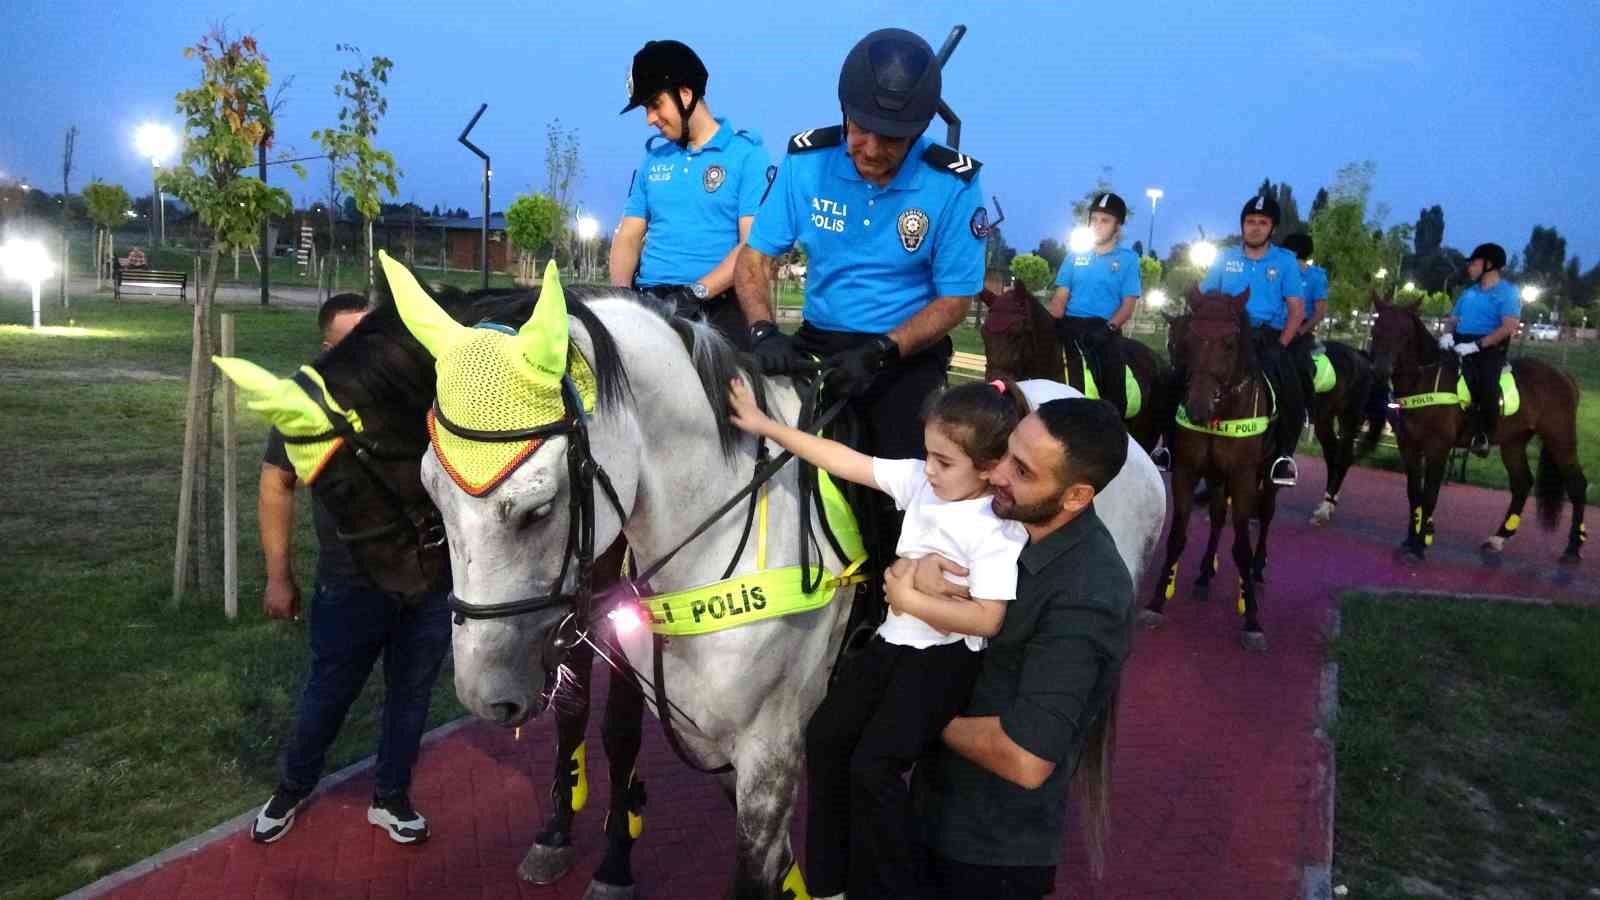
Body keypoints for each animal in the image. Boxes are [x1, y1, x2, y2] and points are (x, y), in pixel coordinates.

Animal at [1145, 286, 1280, 643]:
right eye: (1188, 340)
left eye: (1229, 343)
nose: (1197, 408)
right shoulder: (1186, 471)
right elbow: (1177, 536)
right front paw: (1156, 601)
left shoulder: (1244, 478)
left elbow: (1242, 547)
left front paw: (1252, 620)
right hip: (1218, 479)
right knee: (1218, 519)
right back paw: (1205, 574)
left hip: (1269, 479)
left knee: (1266, 517)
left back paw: (1258, 570)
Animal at [1369, 294, 1580, 560]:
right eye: (1376, 329)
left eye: (1405, 334)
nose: (1380, 370)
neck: (1424, 380)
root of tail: (1563, 375)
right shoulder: (1408, 445)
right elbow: (1414, 493)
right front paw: (1411, 539)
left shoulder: (1438, 447)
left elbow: (1430, 495)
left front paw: (1419, 545)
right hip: (1513, 442)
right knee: (1522, 484)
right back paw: (1499, 538)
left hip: (1560, 440)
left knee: (1577, 485)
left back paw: (1574, 547)